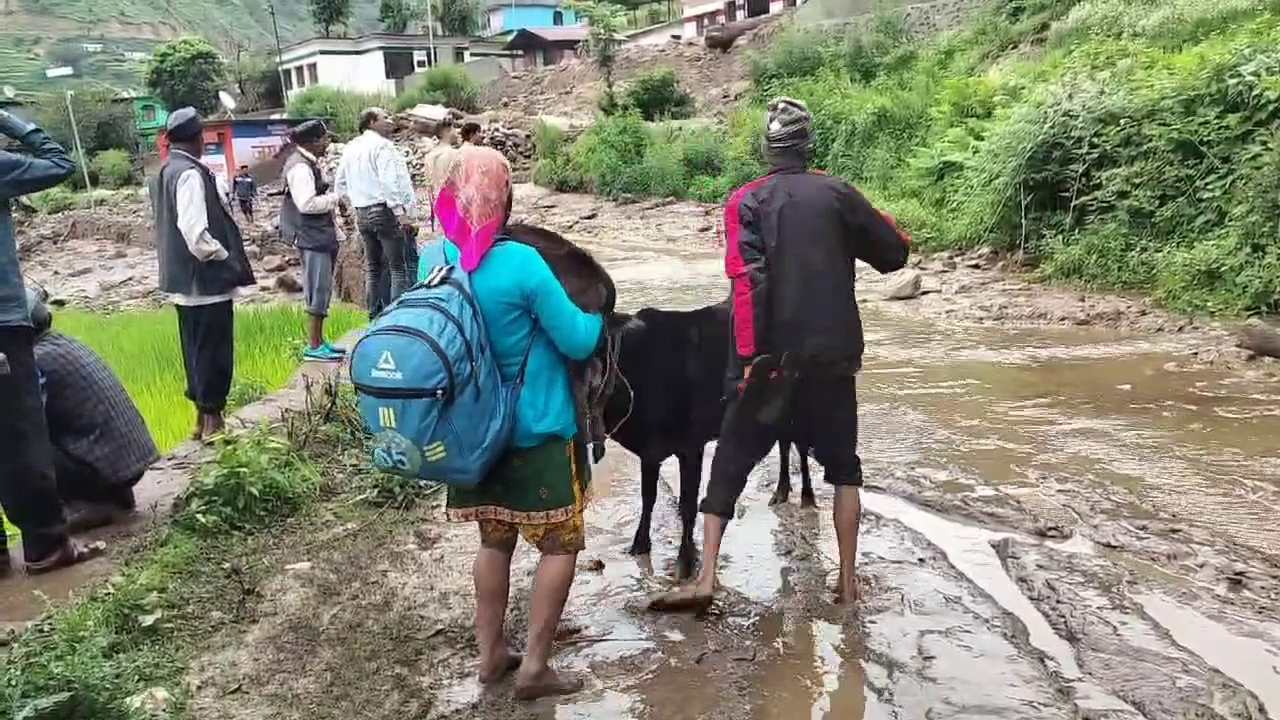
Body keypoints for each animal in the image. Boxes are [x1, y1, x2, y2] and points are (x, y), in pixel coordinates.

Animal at [599, 298, 808, 576]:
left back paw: (804, 494)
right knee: (785, 442)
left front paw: (685, 562)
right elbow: (648, 499)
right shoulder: (650, 454)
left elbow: (688, 505)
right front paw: (639, 544)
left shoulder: (691, 447)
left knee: (800, 445)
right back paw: (781, 490)